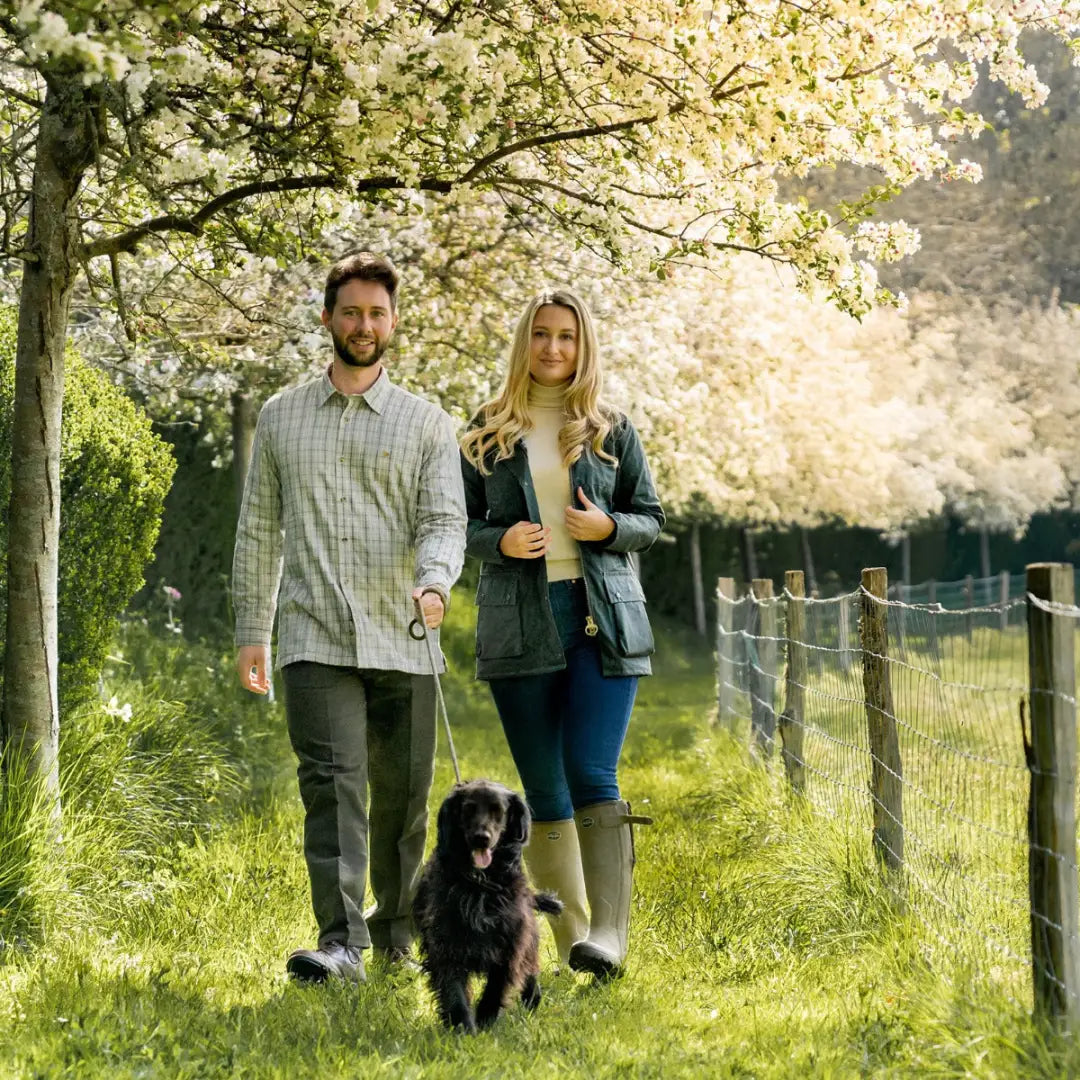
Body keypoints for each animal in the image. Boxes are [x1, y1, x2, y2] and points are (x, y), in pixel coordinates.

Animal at [412, 777, 565, 1028]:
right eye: (468, 808)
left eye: (498, 810)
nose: (481, 838)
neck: (480, 883)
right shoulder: (445, 940)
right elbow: (453, 988)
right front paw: (462, 1026)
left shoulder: (510, 941)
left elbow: (497, 984)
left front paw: (485, 1018)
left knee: (530, 966)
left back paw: (532, 998)